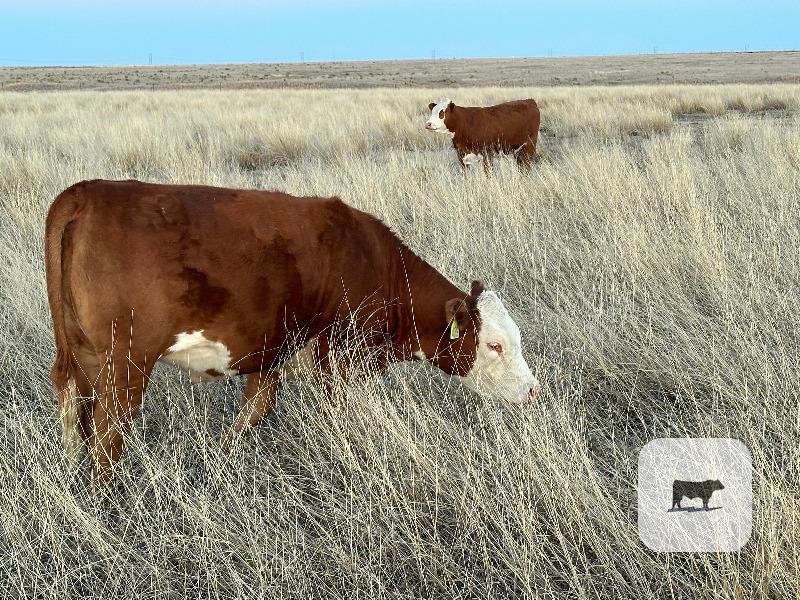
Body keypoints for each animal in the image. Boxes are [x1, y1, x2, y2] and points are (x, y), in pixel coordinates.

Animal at [45, 180, 542, 488]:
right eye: (494, 344)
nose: (533, 390)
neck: (371, 260)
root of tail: (85, 193)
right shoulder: (338, 355)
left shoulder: (271, 352)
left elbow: (254, 410)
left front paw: (221, 460)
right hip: (126, 361)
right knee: (107, 432)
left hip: (80, 355)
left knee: (75, 414)